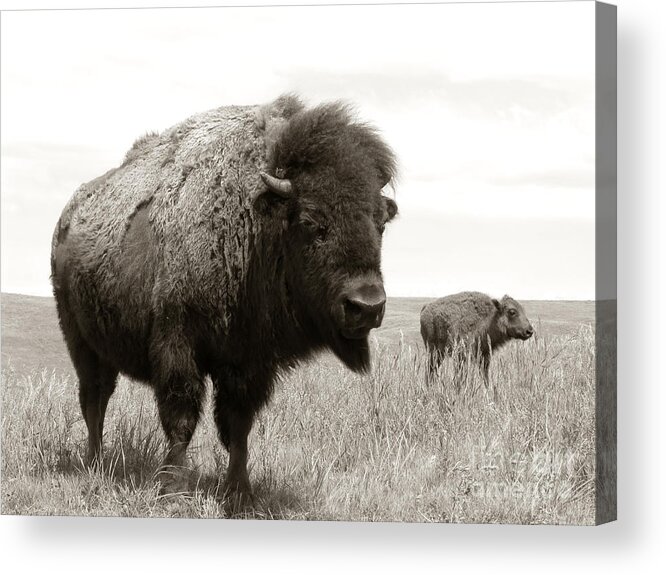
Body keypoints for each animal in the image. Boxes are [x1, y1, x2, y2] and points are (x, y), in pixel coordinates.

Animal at [52, 92, 396, 502]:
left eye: (381, 222)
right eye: (312, 222)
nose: (367, 306)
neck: (256, 219)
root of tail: (67, 220)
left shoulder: (249, 360)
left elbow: (238, 425)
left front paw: (239, 493)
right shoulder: (178, 345)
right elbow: (181, 417)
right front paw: (173, 488)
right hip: (80, 340)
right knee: (95, 398)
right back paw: (94, 464)